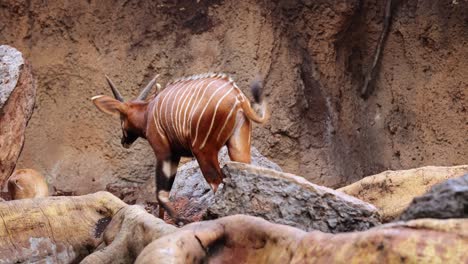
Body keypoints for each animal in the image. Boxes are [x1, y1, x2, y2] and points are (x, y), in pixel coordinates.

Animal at [92, 72, 266, 223]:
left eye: (121, 117)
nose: (124, 141)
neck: (148, 112)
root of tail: (239, 98)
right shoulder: (175, 155)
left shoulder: (164, 152)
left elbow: (161, 193)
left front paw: (179, 220)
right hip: (238, 148)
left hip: (203, 150)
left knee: (217, 182)